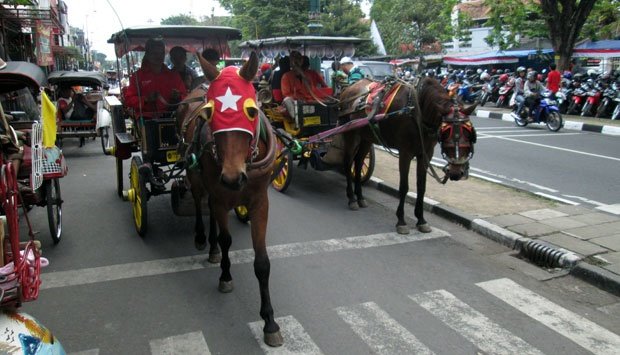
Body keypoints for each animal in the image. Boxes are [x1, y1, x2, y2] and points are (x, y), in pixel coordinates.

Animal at [178, 52, 282, 348]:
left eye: (252, 111)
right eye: (210, 113)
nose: (233, 178)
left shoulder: (260, 202)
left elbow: (262, 262)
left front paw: (269, 321)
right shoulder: (220, 194)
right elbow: (226, 240)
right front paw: (225, 275)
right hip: (197, 177)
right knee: (201, 204)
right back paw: (204, 238)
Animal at [340, 76, 480, 235]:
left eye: (469, 133)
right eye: (445, 131)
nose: (456, 172)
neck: (419, 110)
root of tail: (348, 89)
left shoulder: (426, 154)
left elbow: (421, 187)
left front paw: (421, 220)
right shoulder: (405, 153)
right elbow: (404, 187)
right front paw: (401, 221)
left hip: (367, 137)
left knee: (358, 163)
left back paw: (360, 197)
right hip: (350, 134)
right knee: (348, 162)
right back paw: (352, 198)